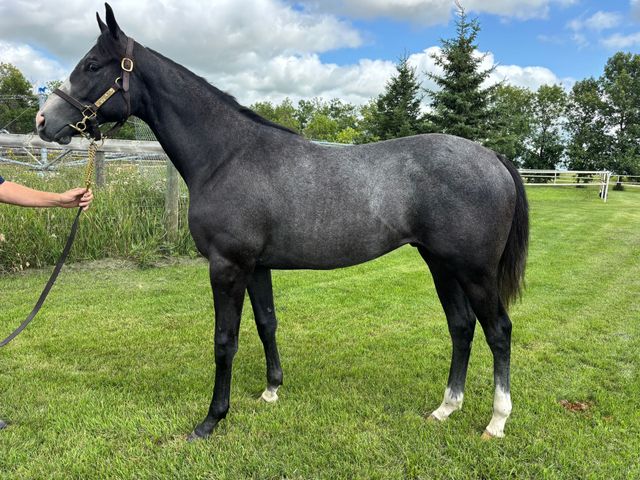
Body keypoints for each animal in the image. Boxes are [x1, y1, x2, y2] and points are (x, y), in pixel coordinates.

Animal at [36, 4, 528, 441]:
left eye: (91, 65)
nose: (44, 120)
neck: (227, 156)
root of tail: (493, 157)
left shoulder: (227, 266)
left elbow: (225, 340)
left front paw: (211, 420)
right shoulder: (257, 266)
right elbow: (266, 322)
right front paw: (272, 390)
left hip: (474, 271)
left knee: (498, 331)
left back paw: (497, 421)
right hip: (440, 264)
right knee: (461, 327)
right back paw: (446, 408)